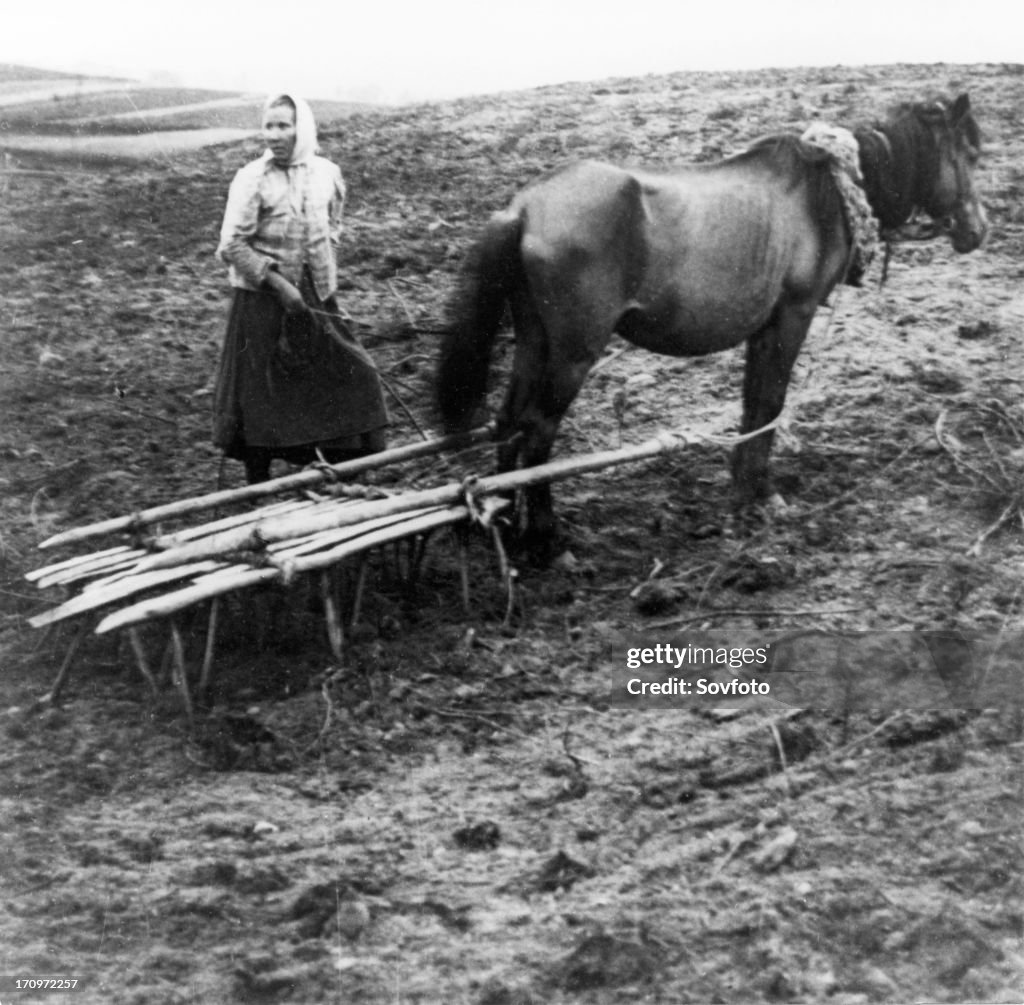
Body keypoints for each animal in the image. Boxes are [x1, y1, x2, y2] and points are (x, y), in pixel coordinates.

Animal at [436, 93, 987, 549]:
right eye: (972, 157)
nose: (978, 230)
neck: (825, 192)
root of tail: (525, 208)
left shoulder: (766, 326)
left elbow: (754, 404)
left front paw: (744, 487)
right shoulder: (794, 314)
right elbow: (771, 402)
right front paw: (760, 494)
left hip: (534, 340)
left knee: (508, 422)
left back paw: (507, 522)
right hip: (574, 352)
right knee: (537, 431)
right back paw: (547, 540)